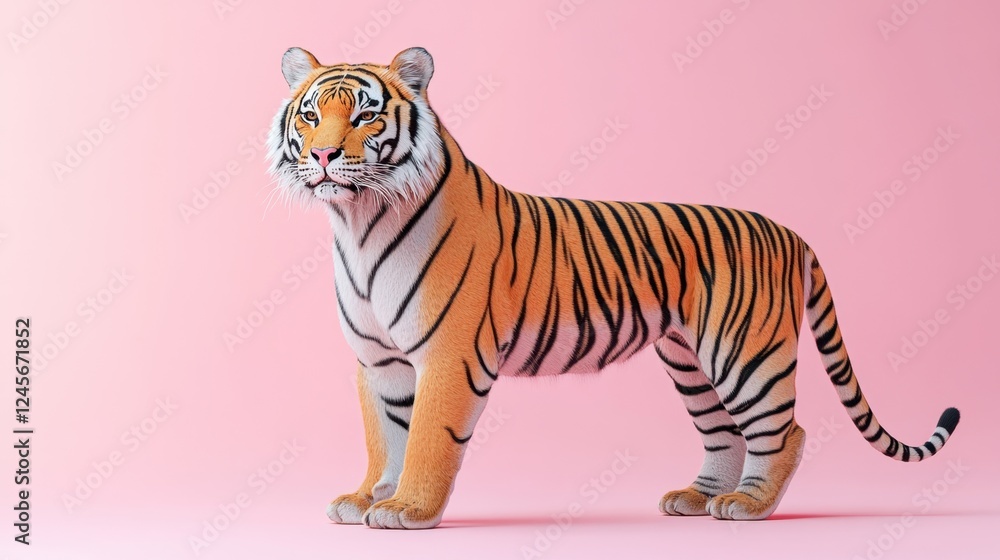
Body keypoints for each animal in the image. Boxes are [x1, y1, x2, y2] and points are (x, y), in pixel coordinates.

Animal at [265, 46, 961, 529]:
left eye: (364, 114)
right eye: (312, 113)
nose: (323, 156)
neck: (358, 221)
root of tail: (790, 233)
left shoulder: (448, 354)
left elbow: (427, 438)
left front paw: (408, 509)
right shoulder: (377, 359)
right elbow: (384, 434)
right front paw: (367, 498)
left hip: (746, 353)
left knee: (784, 432)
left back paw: (750, 505)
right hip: (690, 360)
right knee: (725, 432)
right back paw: (696, 499)